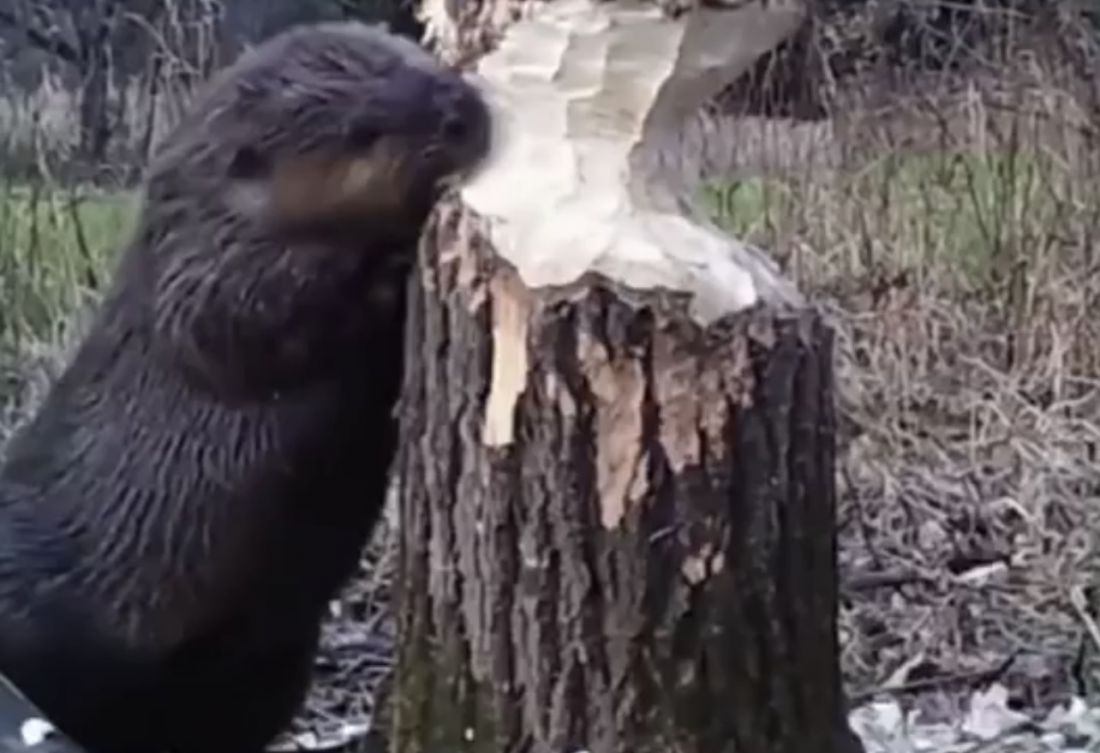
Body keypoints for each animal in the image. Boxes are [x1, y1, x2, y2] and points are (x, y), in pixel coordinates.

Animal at [0, 19, 490, 751]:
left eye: (420, 59)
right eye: (364, 131)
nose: (468, 110)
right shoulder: (193, 277)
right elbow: (251, 314)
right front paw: (391, 260)